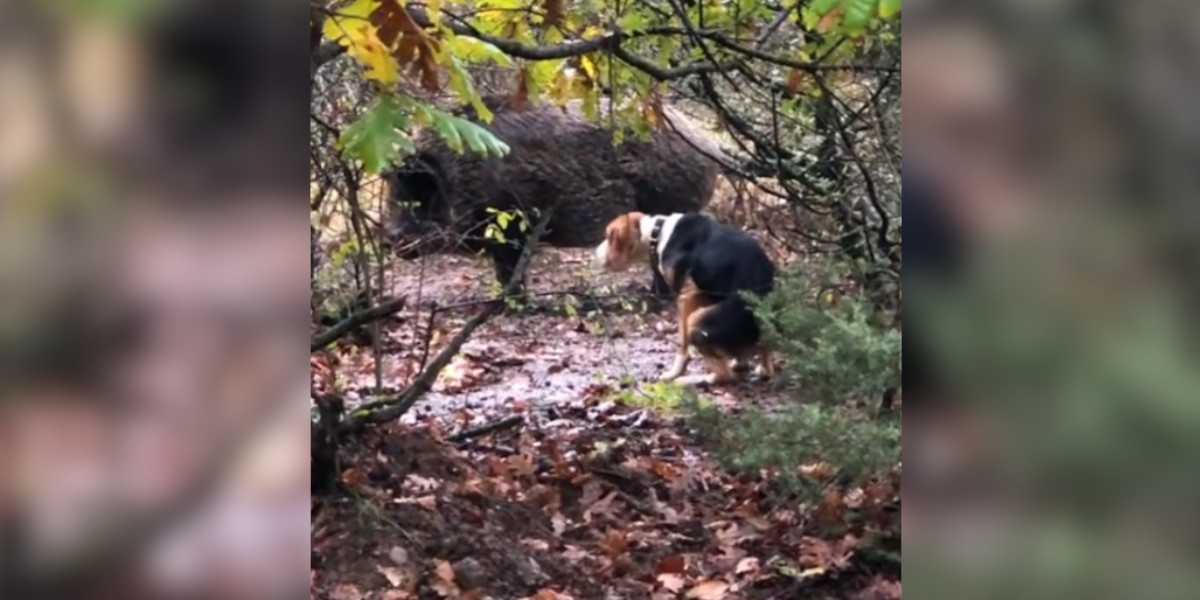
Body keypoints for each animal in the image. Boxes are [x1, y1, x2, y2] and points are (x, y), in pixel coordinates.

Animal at [592, 213, 777, 381]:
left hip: (696, 319)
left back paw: (696, 379)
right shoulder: (705, 294)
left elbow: (682, 344)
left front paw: (675, 372)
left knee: (724, 376)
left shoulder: (686, 295)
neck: (657, 233)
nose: (594, 253)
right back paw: (757, 367)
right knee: (763, 351)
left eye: (608, 236)